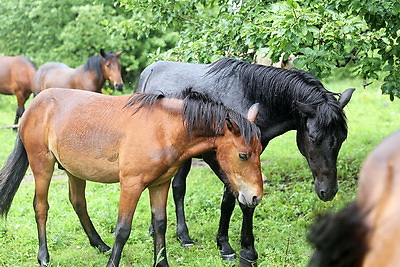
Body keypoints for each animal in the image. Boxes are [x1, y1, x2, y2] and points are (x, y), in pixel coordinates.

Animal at [0, 87, 264, 266]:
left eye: (260, 150)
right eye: (243, 155)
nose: (255, 197)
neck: (163, 130)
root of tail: (36, 104)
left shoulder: (160, 184)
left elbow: (160, 225)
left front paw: (162, 263)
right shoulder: (131, 184)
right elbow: (123, 229)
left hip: (74, 170)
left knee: (78, 203)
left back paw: (99, 244)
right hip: (42, 165)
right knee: (41, 207)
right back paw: (44, 256)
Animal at [137, 57, 354, 264]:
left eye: (343, 137)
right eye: (313, 137)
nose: (328, 191)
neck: (247, 97)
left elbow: (230, 201)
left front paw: (224, 243)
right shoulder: (217, 158)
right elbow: (244, 202)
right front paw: (243, 249)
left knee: (177, 187)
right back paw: (180, 235)